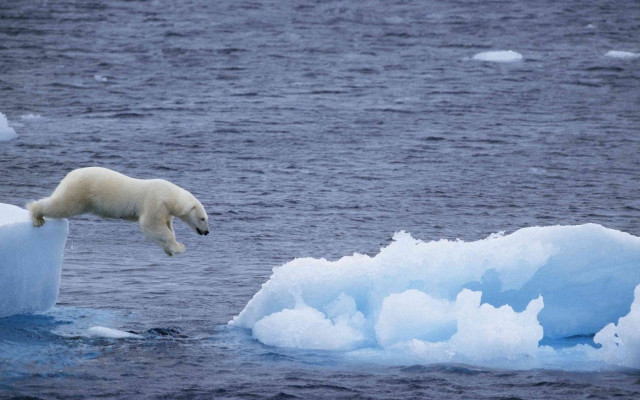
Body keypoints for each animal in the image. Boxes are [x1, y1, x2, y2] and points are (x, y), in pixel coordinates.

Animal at [28, 167, 209, 256]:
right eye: (202, 218)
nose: (207, 232)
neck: (169, 195)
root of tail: (70, 175)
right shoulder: (154, 202)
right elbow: (150, 225)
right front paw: (179, 247)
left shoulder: (165, 211)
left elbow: (164, 228)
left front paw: (170, 249)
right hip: (80, 192)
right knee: (61, 205)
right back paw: (37, 216)